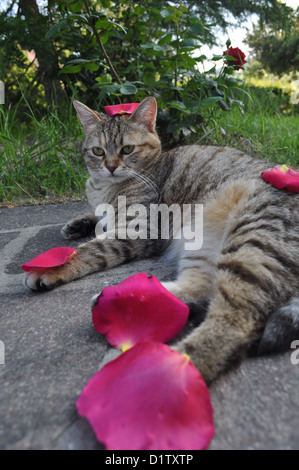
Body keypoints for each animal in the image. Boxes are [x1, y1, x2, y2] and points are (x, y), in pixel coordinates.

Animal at [24, 97, 299, 384]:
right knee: (200, 290)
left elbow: (91, 249)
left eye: (127, 149)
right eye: (98, 151)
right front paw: (80, 223)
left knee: (233, 324)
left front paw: (53, 267)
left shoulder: (138, 229)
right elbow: (98, 218)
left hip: (251, 243)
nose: (110, 167)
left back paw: (156, 371)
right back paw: (126, 302)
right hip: (202, 242)